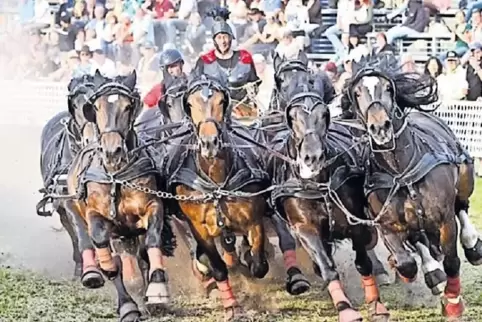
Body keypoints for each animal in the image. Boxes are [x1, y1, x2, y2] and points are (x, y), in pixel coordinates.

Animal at [65, 71, 175, 322]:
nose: (112, 151)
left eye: (128, 106)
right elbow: (104, 251)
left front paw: (157, 290)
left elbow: (152, 239)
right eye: (95, 106)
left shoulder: (152, 204)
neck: (116, 175)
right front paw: (127, 305)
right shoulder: (97, 215)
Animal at [266, 71, 390, 320]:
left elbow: (363, 262)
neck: (318, 184)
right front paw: (345, 309)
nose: (312, 157)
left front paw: (376, 303)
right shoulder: (305, 228)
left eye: (324, 114)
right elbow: (327, 268)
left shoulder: (354, 221)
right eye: (292, 116)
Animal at [342, 56, 482, 320]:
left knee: (462, 206)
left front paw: (453, 303)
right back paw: (431, 271)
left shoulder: (444, 220)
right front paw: (413, 271)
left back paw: (473, 246)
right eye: (357, 93)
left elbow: (451, 260)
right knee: (418, 239)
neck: (402, 173)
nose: (380, 128)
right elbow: (407, 261)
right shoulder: (386, 225)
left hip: (464, 178)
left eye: (388, 88)